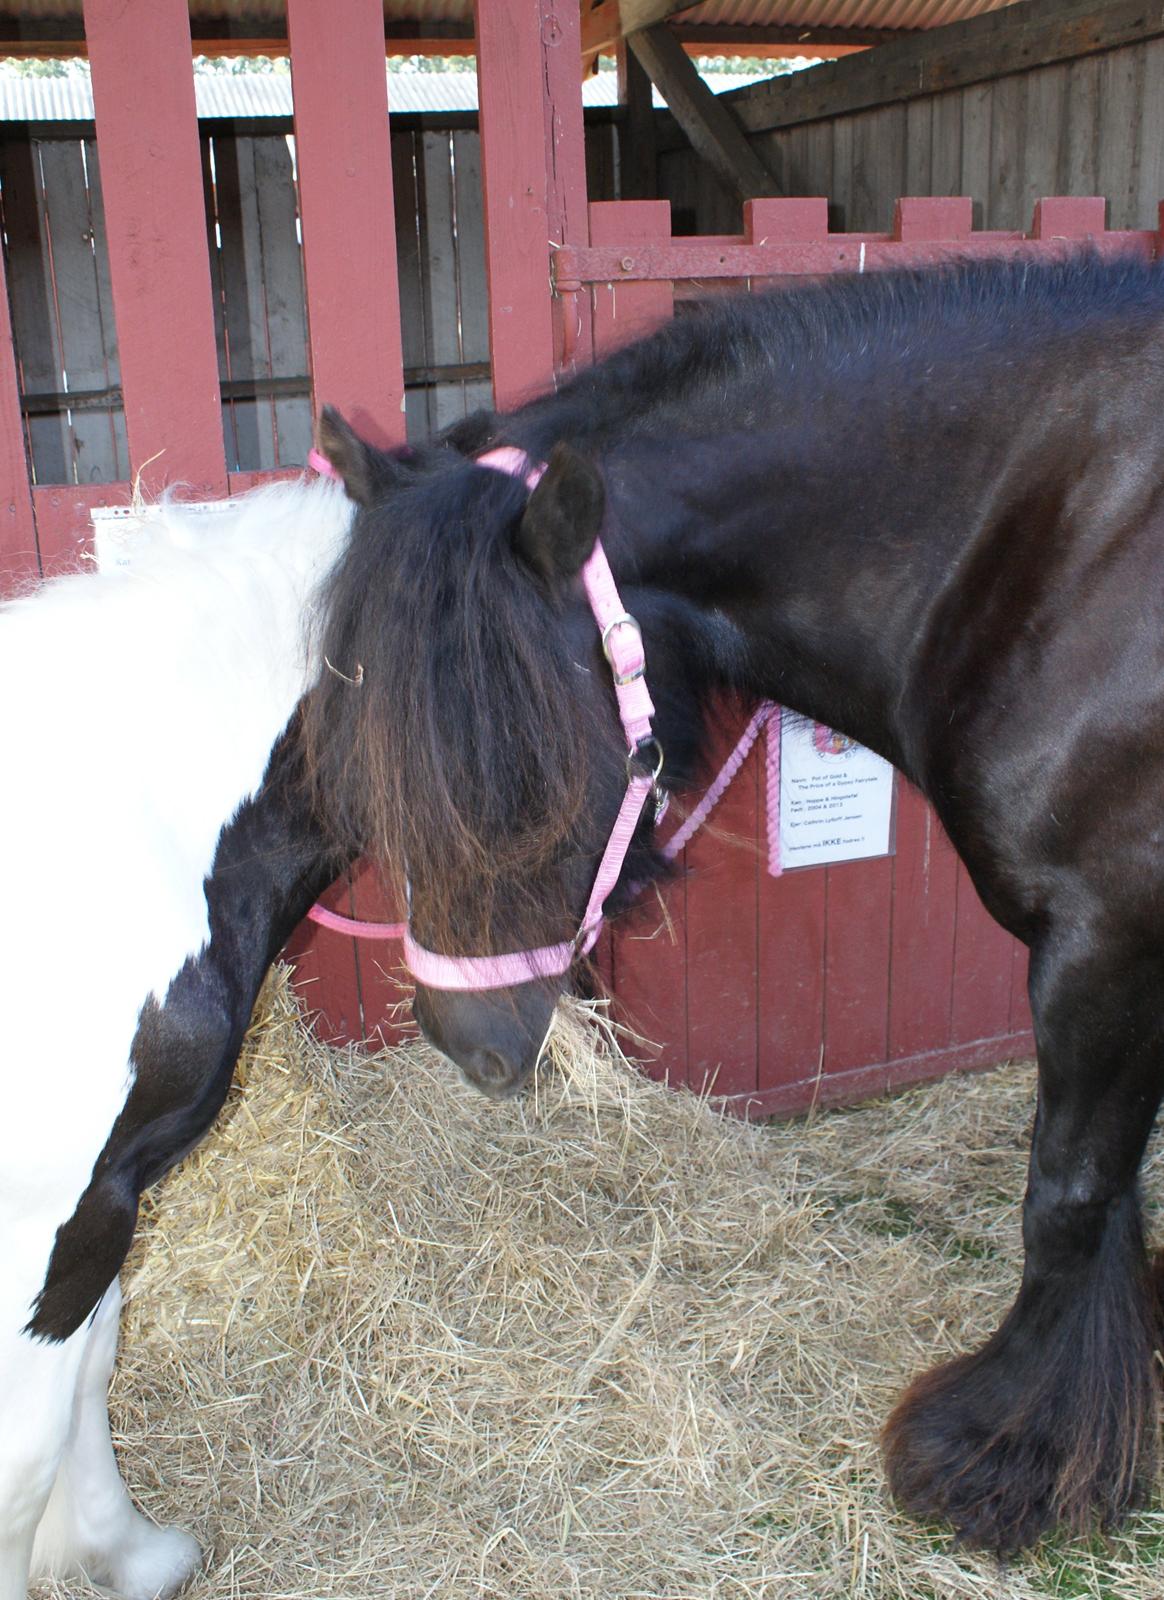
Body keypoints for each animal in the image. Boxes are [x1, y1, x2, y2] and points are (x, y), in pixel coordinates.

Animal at [302, 256, 1164, 1555]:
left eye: (527, 763)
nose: (468, 1044)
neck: (1066, 545)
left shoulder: (1108, 937)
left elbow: (1069, 1200)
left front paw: (1012, 1457)